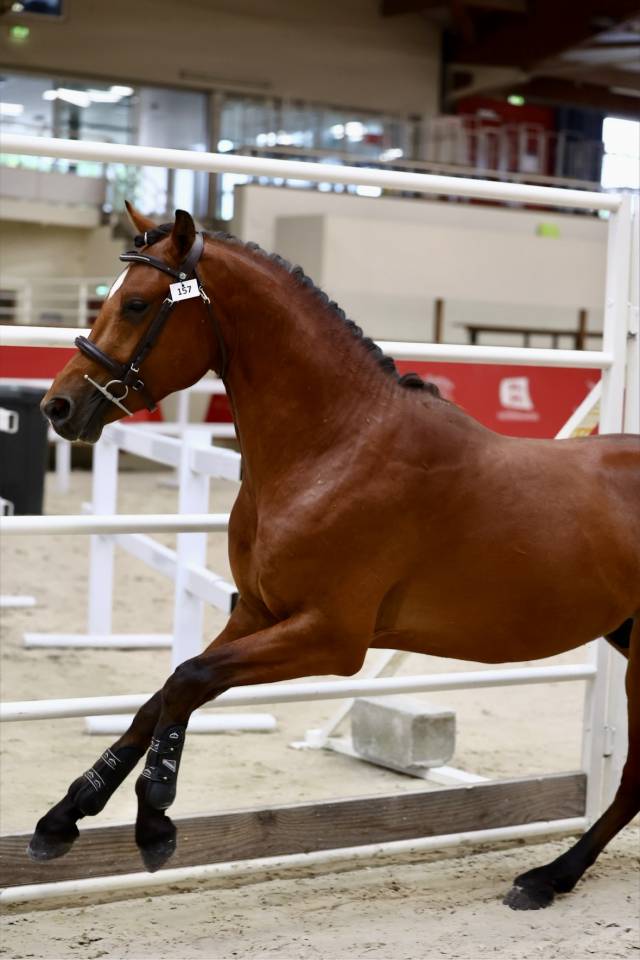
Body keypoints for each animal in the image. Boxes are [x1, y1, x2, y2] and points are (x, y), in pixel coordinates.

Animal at [35, 203, 639, 910]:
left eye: (134, 304)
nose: (58, 406)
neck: (337, 448)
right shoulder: (256, 615)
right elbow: (162, 693)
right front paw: (63, 816)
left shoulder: (331, 637)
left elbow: (188, 680)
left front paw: (155, 818)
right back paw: (553, 874)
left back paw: (548, 877)